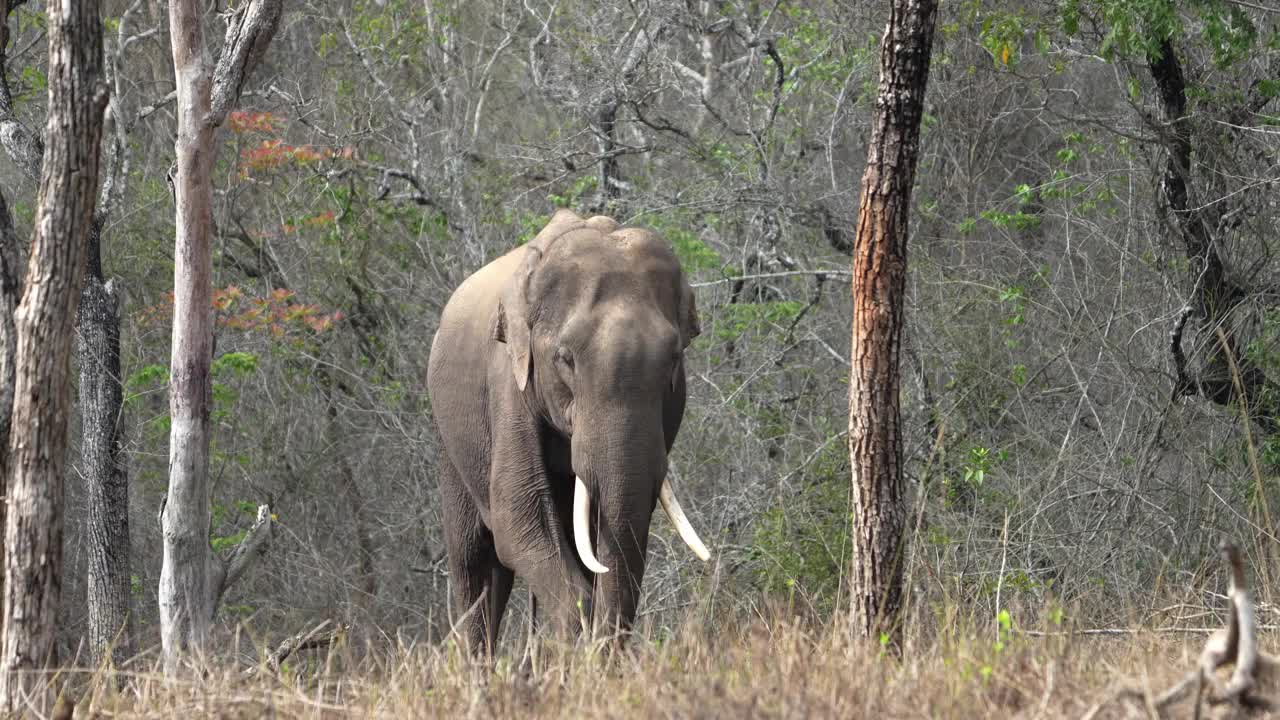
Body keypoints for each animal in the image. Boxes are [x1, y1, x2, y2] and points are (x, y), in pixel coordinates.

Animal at [427, 208, 711, 655]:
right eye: (565, 358)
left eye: (673, 359)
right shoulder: (508, 380)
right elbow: (518, 517)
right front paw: (580, 644)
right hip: (451, 441)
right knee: (475, 565)